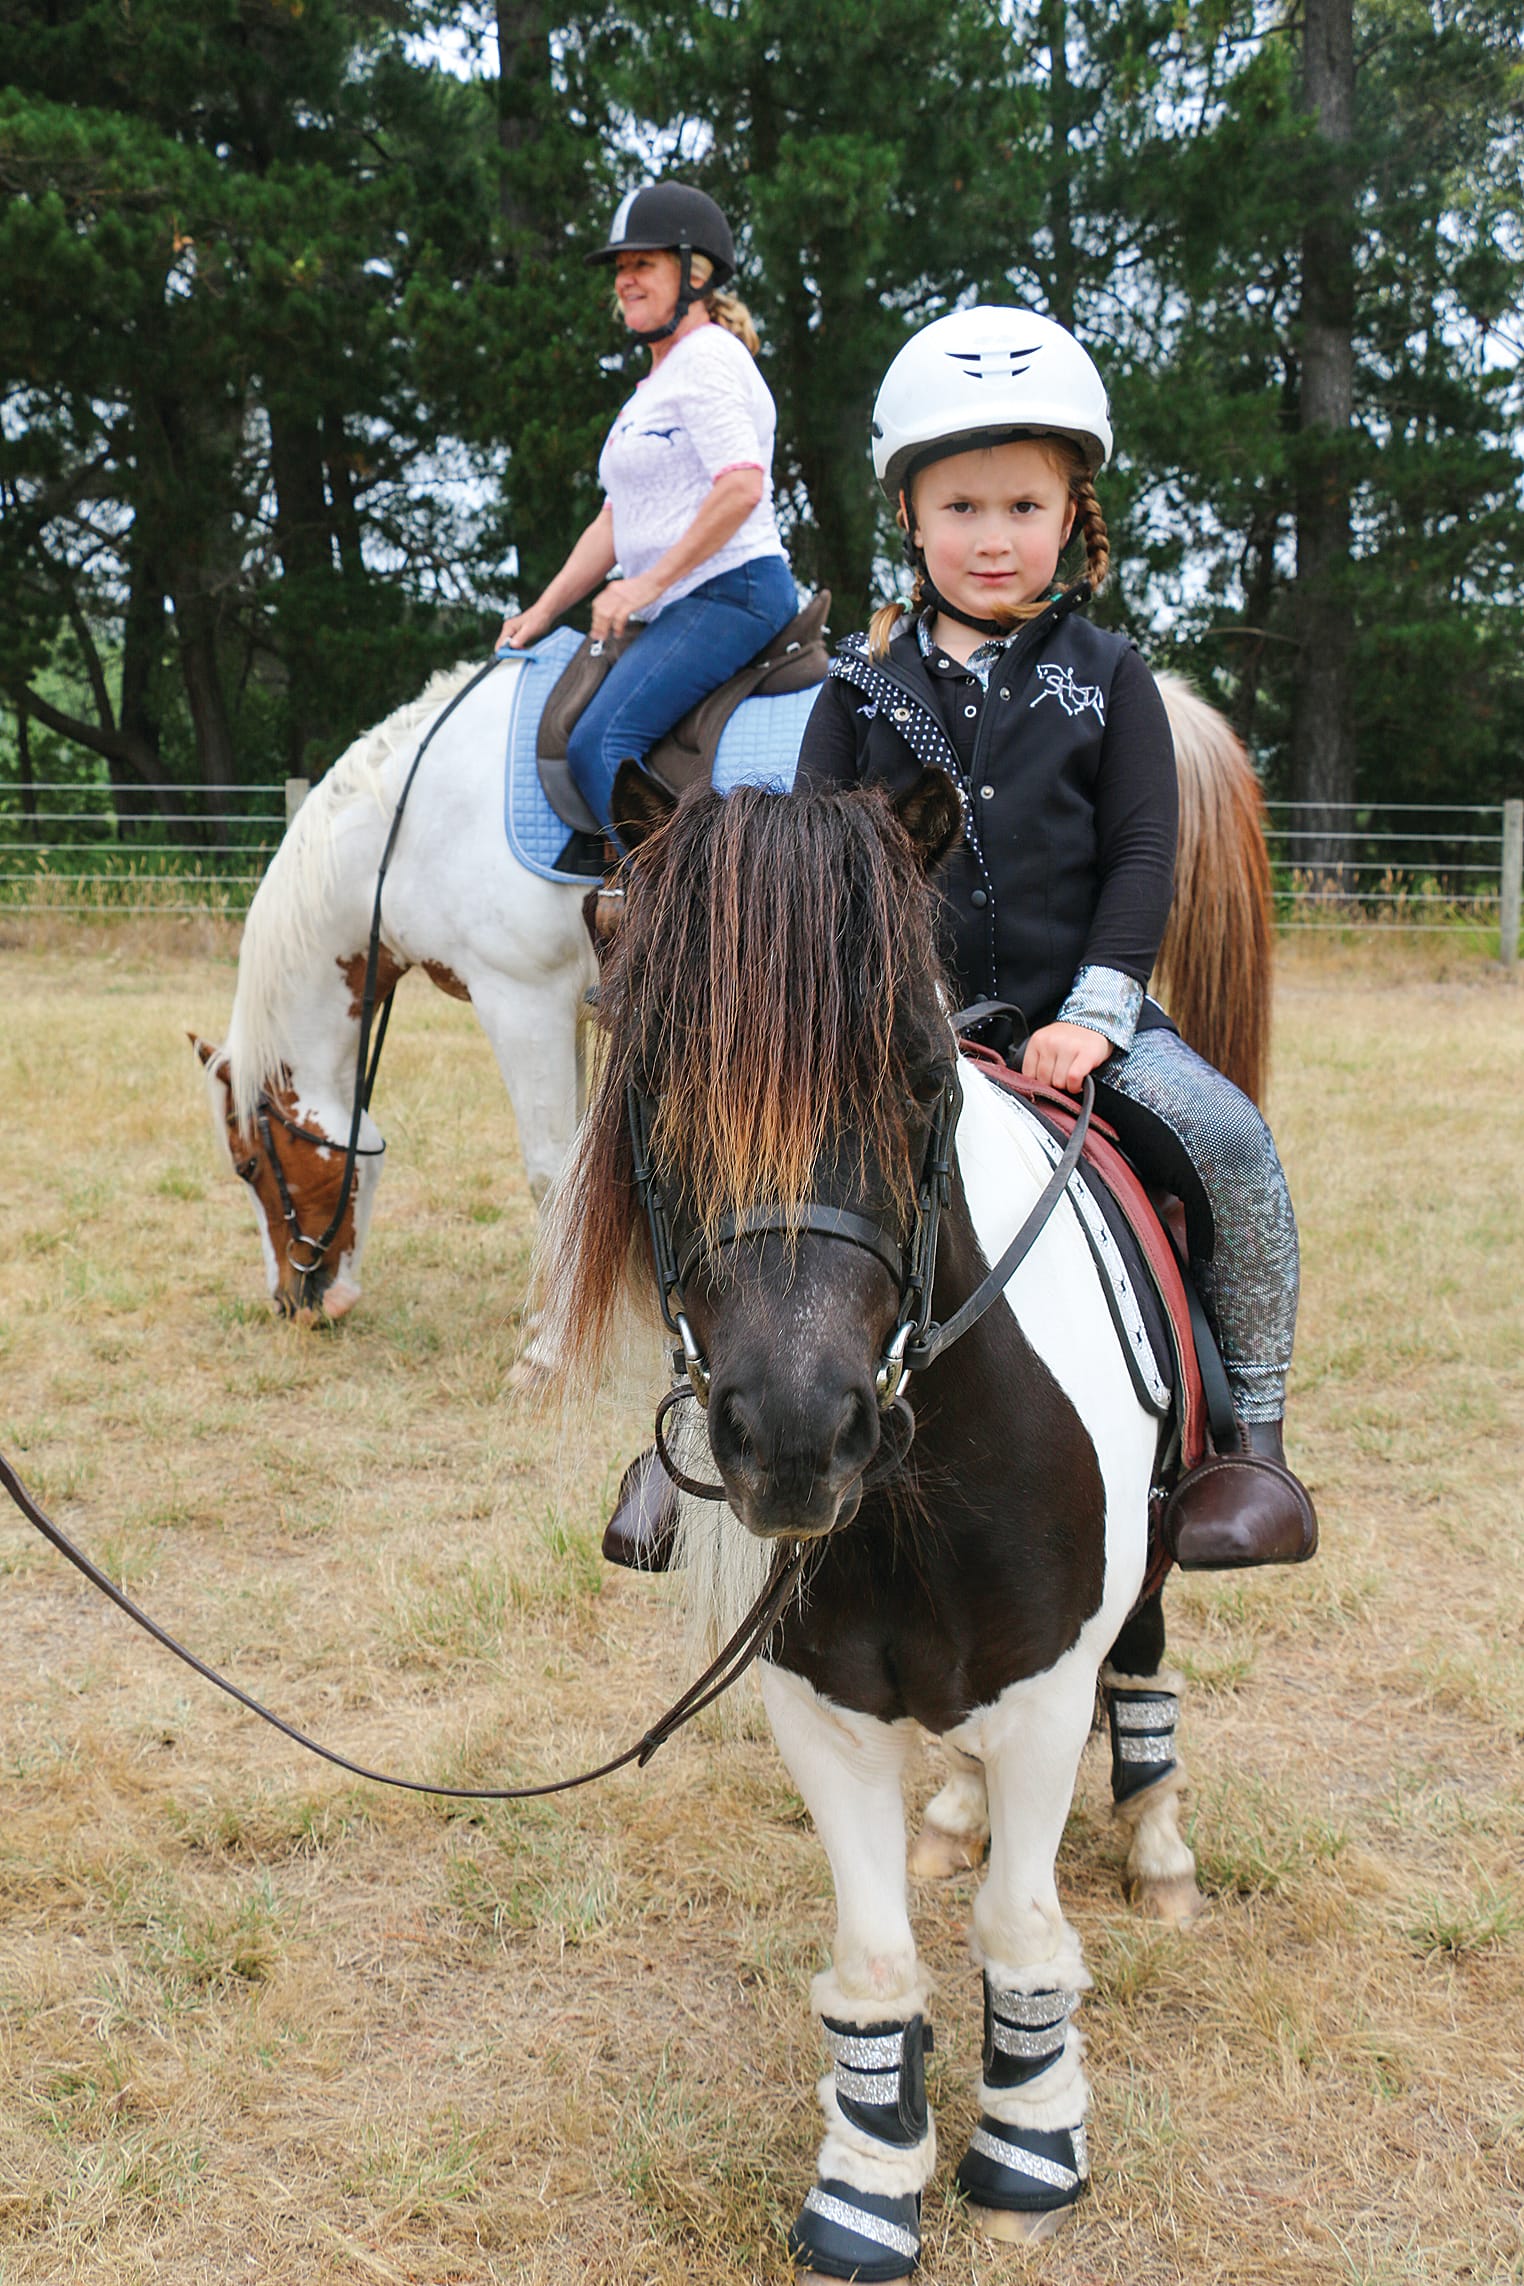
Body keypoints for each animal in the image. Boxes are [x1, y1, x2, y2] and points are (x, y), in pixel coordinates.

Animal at [192, 658, 597, 1325]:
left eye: (248, 1166)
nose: (290, 1303)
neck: (410, 828)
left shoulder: (523, 1002)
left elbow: (554, 1172)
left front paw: (555, 1335)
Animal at [538, 760, 1273, 2272]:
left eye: (922, 1078)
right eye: (651, 1081)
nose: (796, 1436)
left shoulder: (1049, 1684)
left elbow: (1022, 1923)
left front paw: (1031, 2147)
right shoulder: (820, 1700)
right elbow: (876, 1953)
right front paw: (868, 2184)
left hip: (1155, 1557)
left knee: (1148, 1656)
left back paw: (1160, 1845)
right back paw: (957, 1808)